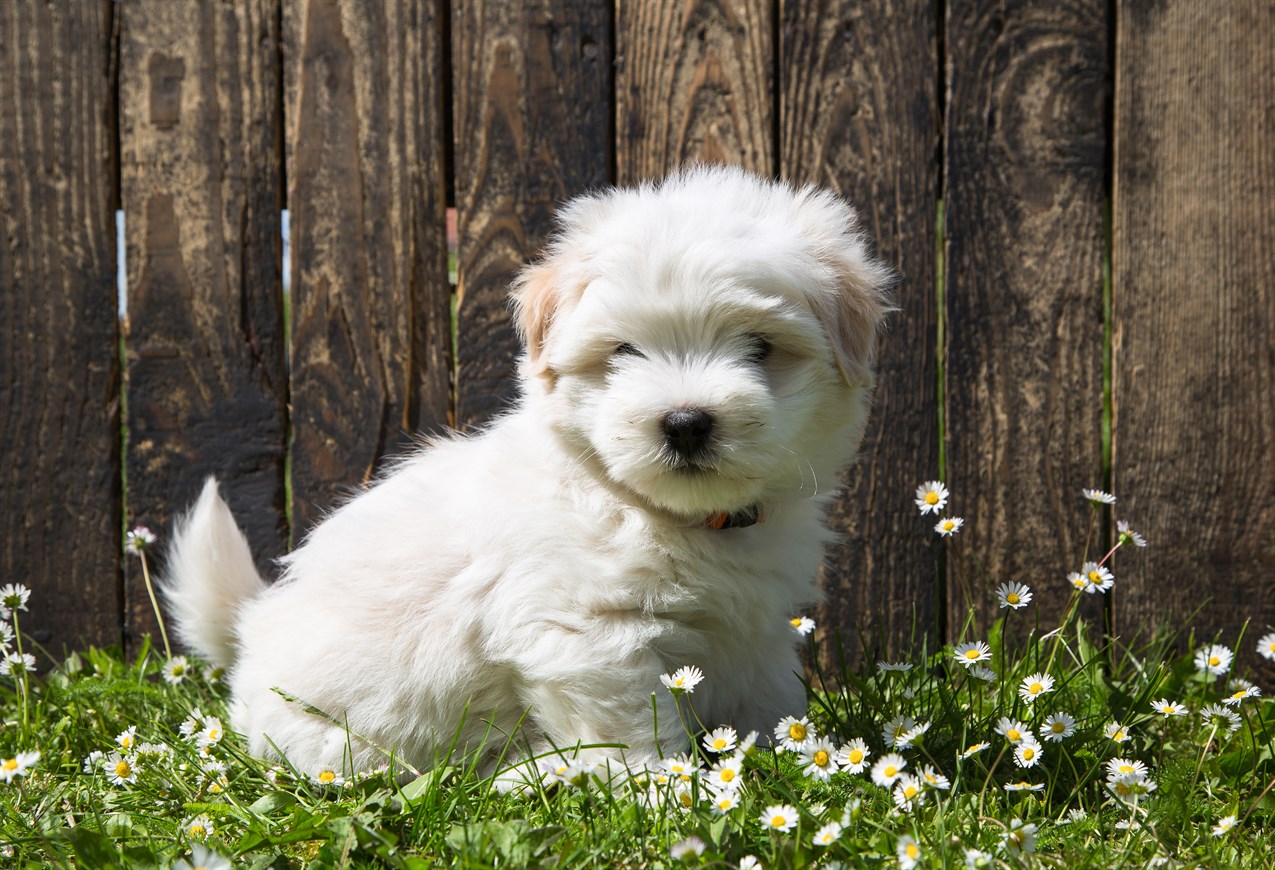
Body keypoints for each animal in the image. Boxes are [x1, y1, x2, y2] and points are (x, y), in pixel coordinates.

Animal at [164, 165, 892, 775]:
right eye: (624, 351)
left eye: (759, 347)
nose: (685, 422)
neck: (654, 511)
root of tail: (249, 636)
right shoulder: (590, 634)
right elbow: (631, 729)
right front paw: (657, 792)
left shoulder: (755, 632)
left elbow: (768, 701)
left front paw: (783, 761)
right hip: (337, 737)